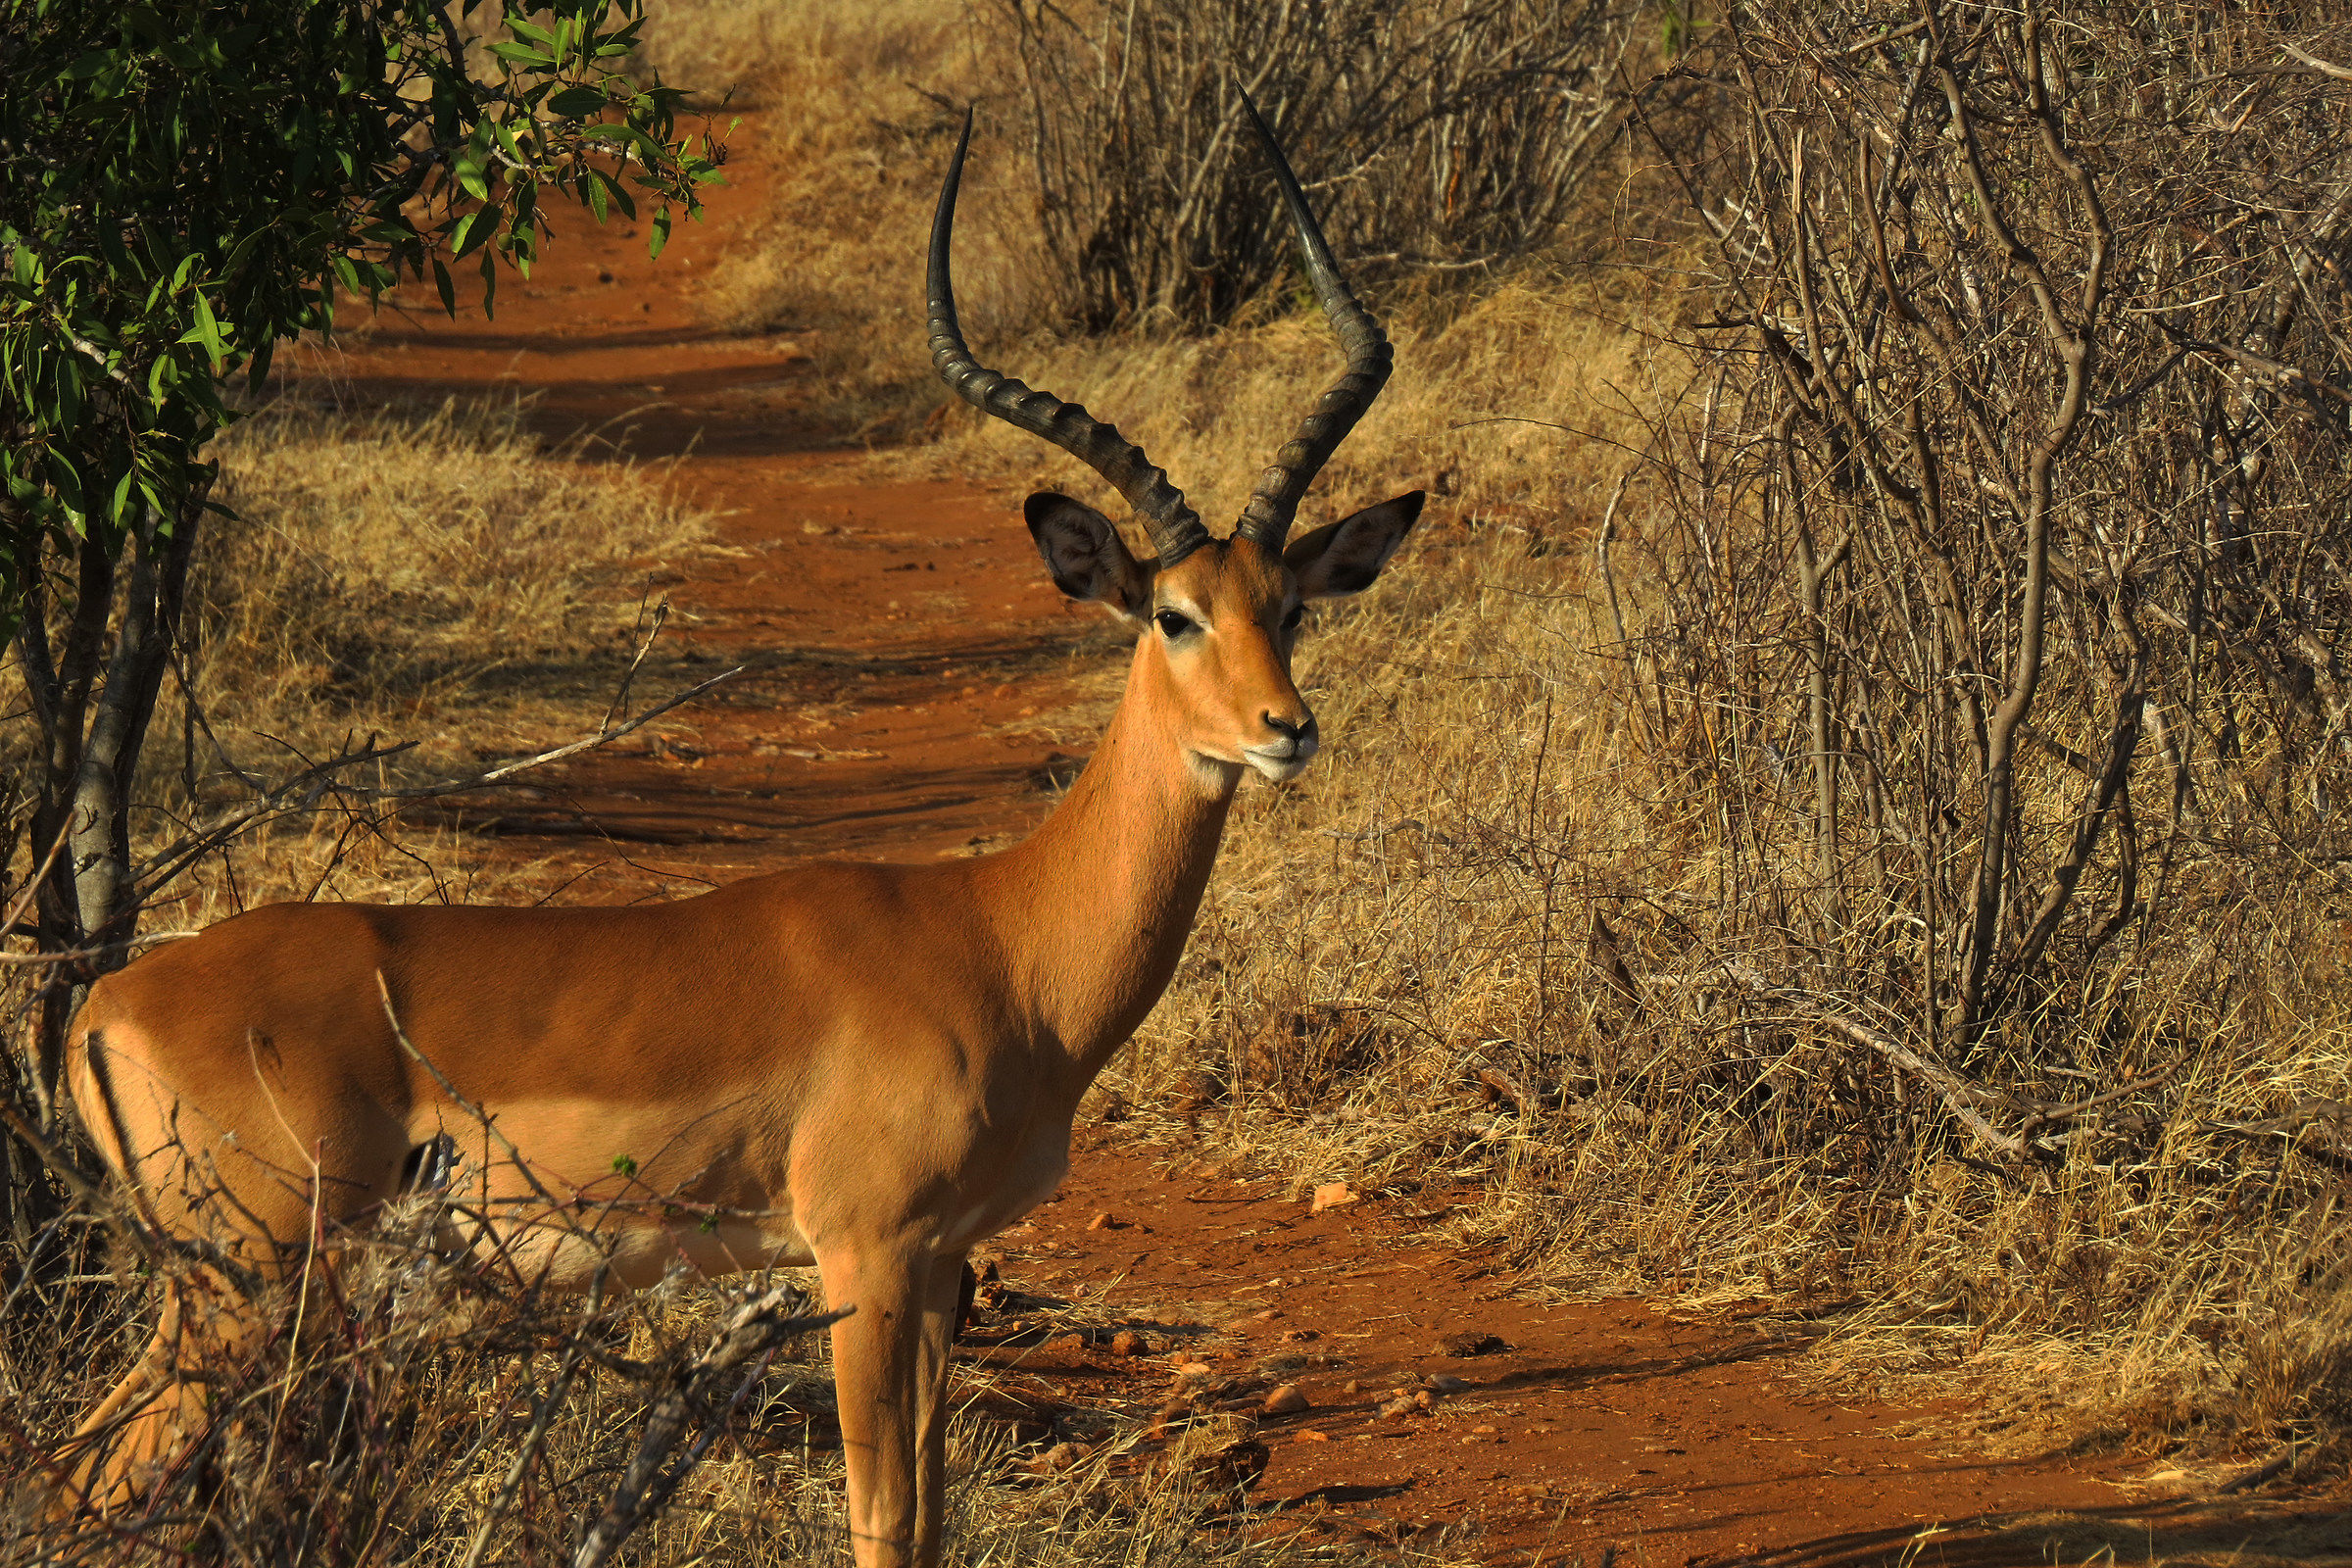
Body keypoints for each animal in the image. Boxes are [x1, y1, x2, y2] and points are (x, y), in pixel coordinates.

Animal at [57, 97, 1420, 1566]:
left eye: (1292, 603)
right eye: (1172, 612)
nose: (1287, 729)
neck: (1001, 943)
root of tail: (106, 1003)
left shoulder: (944, 1264)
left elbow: (931, 1521)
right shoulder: (864, 1255)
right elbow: (883, 1524)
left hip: (221, 1298)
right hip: (249, 1288)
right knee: (93, 1481)